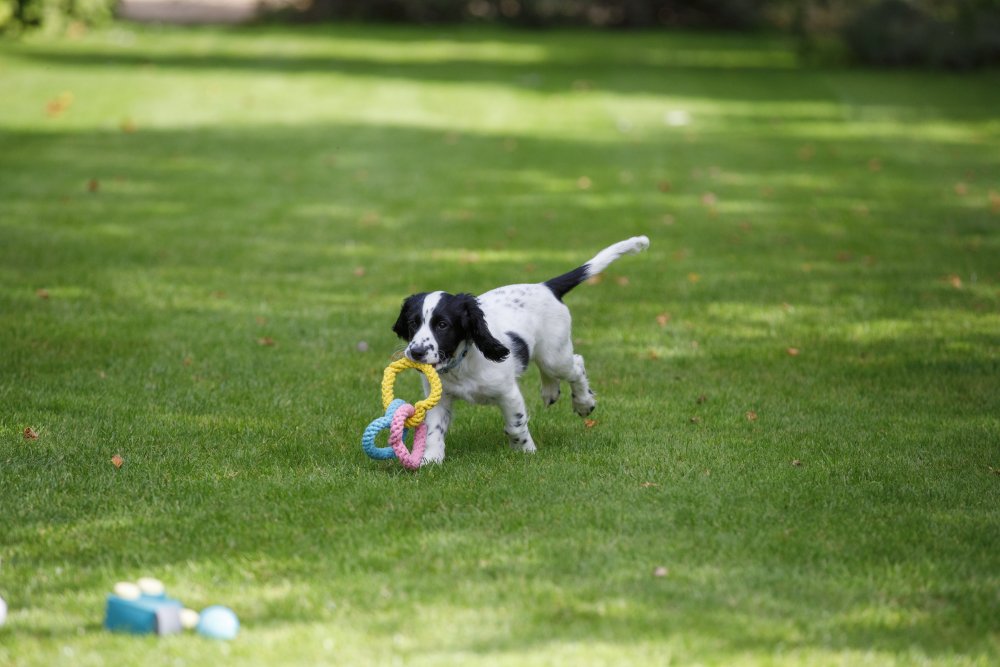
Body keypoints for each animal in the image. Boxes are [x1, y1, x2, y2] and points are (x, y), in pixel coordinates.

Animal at [390, 237, 648, 468]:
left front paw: (526, 451)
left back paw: (584, 402)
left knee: (576, 364)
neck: (461, 365)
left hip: (555, 354)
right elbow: (434, 429)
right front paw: (430, 460)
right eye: (412, 323)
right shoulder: (440, 397)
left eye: (443, 325)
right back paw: (550, 391)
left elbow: (515, 425)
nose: (417, 352)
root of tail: (546, 286)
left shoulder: (508, 393)